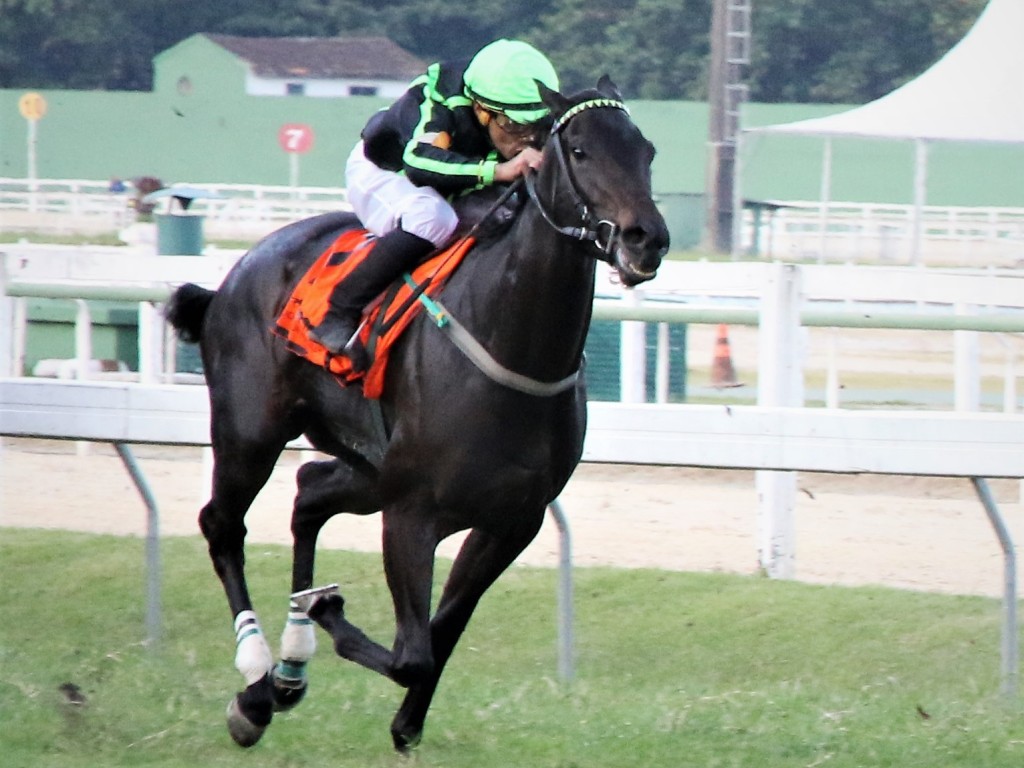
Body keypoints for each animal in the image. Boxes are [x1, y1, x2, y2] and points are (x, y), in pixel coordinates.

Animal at [163, 78, 667, 753]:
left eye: (646, 151)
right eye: (581, 151)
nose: (647, 239)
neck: (510, 338)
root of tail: (235, 274)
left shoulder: (511, 521)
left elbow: (442, 633)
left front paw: (405, 722)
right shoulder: (410, 513)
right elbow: (413, 653)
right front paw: (328, 614)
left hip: (368, 467)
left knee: (309, 493)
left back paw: (291, 662)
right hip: (251, 433)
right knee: (223, 524)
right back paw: (257, 680)